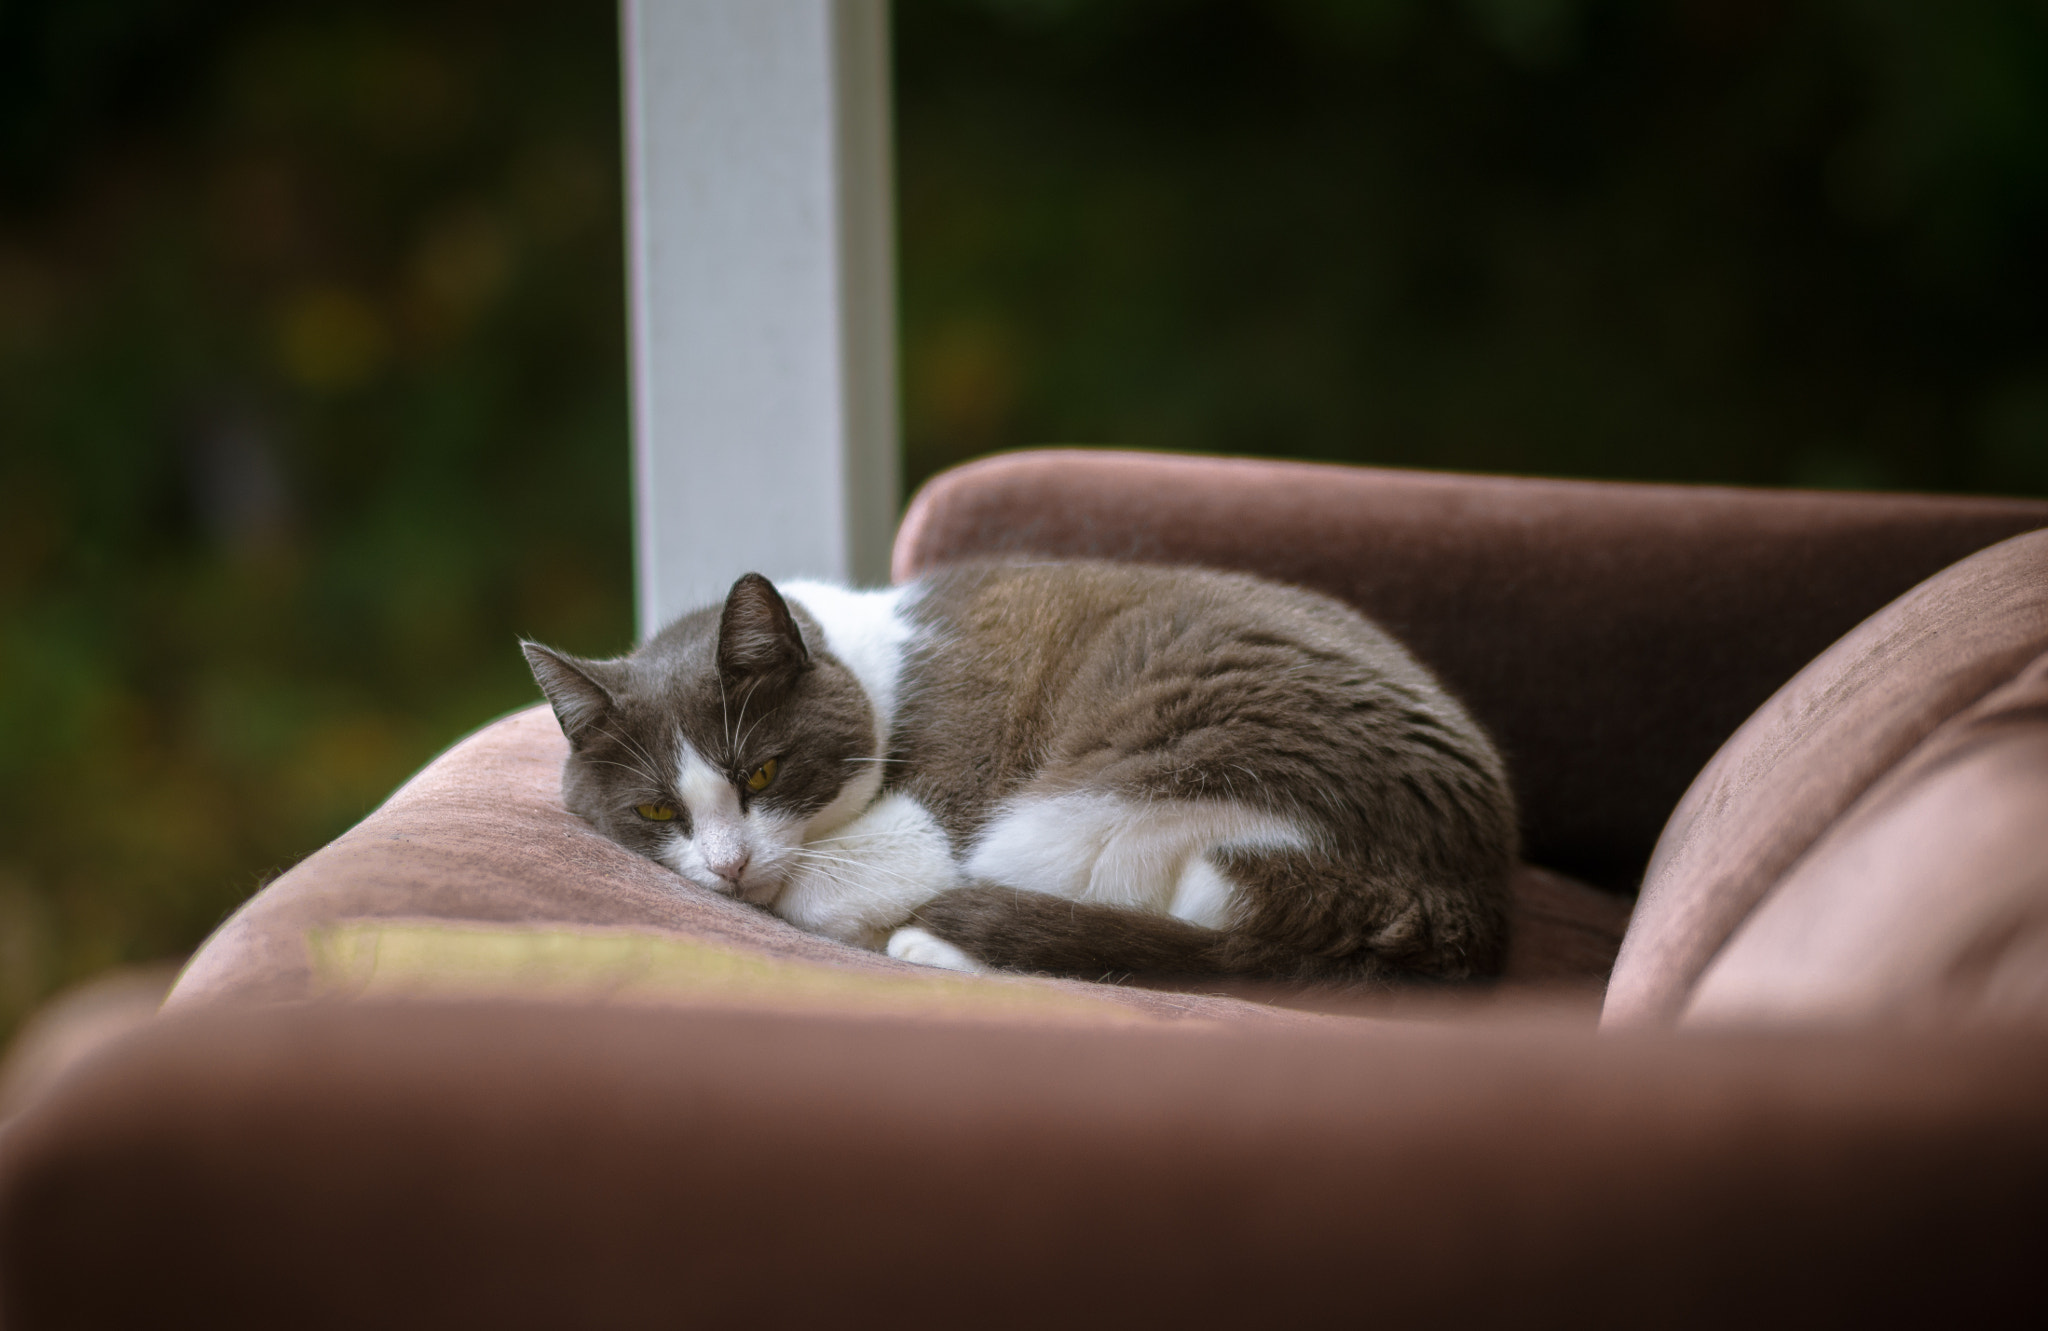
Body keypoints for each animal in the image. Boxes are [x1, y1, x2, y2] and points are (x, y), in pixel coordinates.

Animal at [524, 552, 1523, 978]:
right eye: (658, 812)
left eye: (763, 773)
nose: (729, 868)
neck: (872, 662)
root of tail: (1463, 890)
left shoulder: (952, 785)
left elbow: (826, 886)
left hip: (1124, 791)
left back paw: (932, 943)